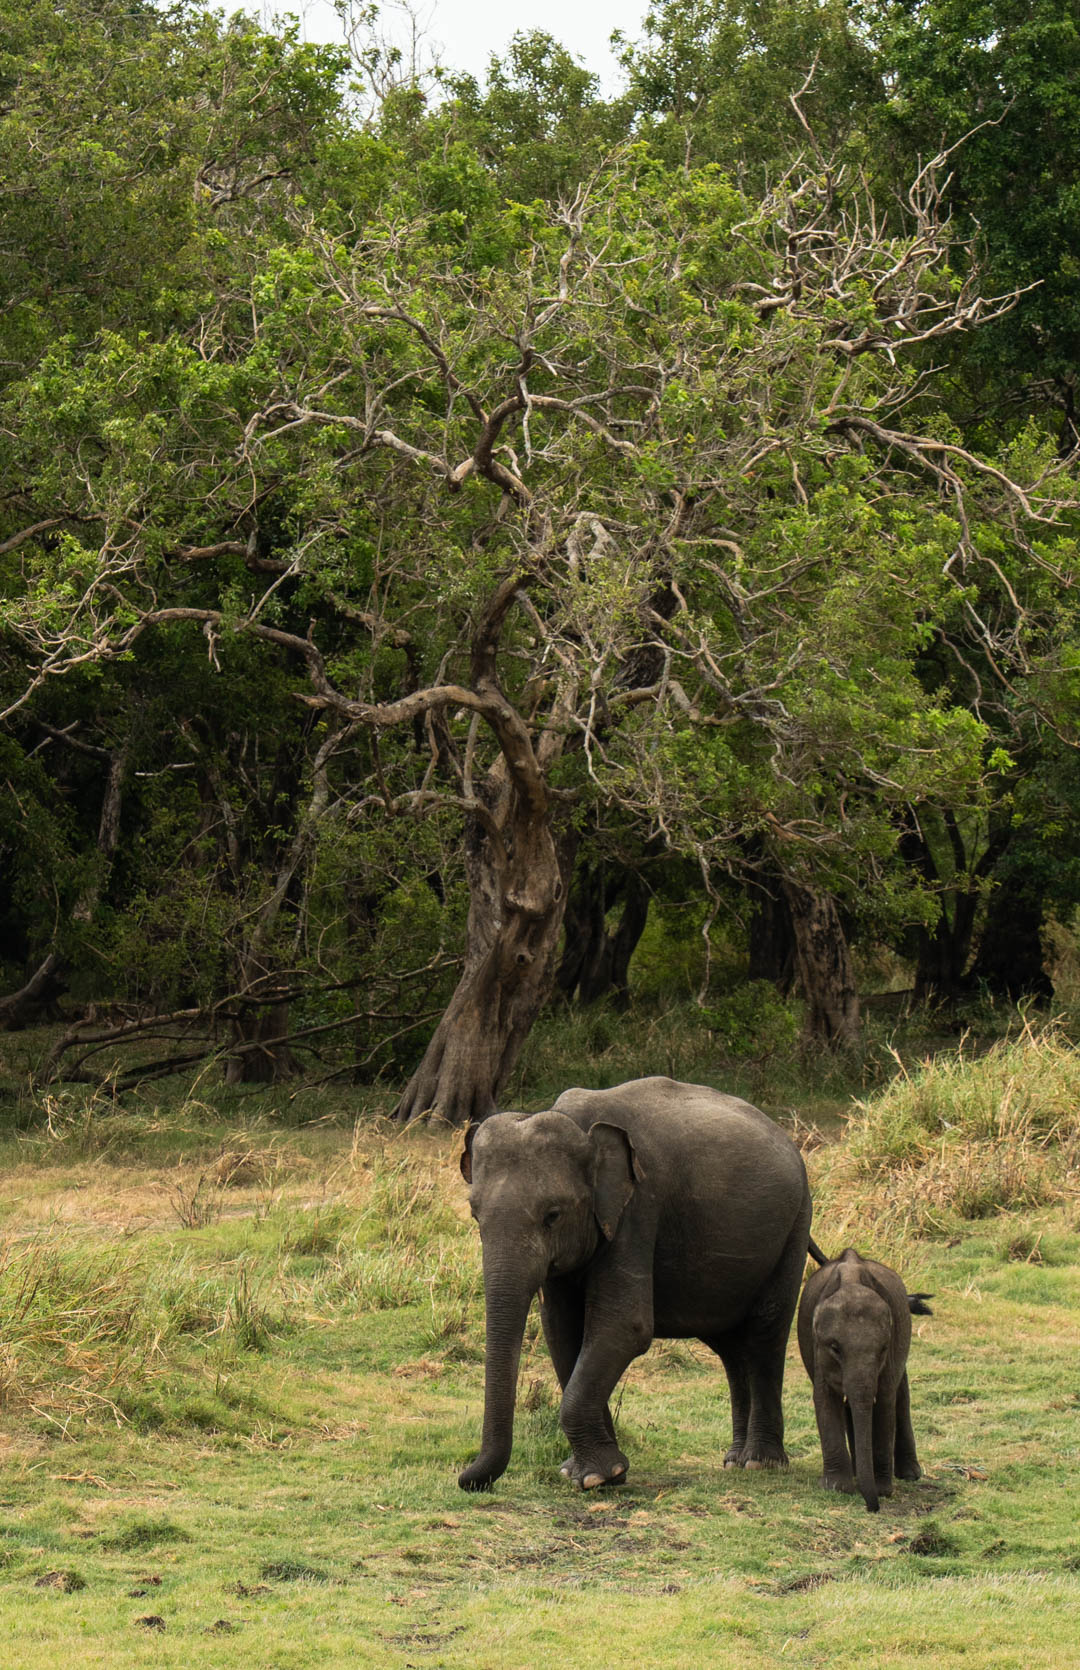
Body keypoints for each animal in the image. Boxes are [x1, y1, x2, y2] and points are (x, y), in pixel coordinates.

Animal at [457, 1075, 813, 1493]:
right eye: (474, 1214)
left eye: (553, 1215)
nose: (466, 1479)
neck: (579, 1124)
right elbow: (561, 1331)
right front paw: (598, 1473)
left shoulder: (639, 1209)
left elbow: (623, 1326)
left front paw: (596, 1478)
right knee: (730, 1346)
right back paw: (733, 1460)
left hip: (795, 1225)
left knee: (765, 1334)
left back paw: (759, 1463)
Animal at [797, 1247, 930, 1513]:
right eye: (835, 1348)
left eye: (882, 1349)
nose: (872, 1508)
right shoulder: (818, 1352)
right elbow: (824, 1399)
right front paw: (838, 1488)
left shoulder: (891, 1353)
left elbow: (885, 1402)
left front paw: (881, 1490)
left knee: (900, 1397)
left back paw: (909, 1475)